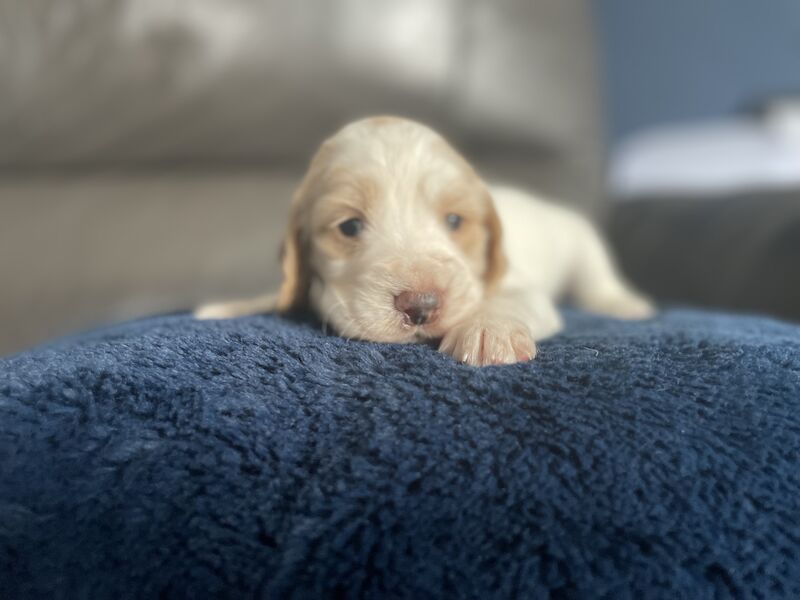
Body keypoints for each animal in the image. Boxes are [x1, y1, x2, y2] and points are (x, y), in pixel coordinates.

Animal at [197, 115, 652, 364]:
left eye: (454, 220)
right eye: (349, 227)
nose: (421, 306)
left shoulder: (518, 283)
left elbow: (505, 298)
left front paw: (488, 330)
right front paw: (228, 307)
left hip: (583, 243)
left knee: (599, 277)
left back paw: (624, 303)